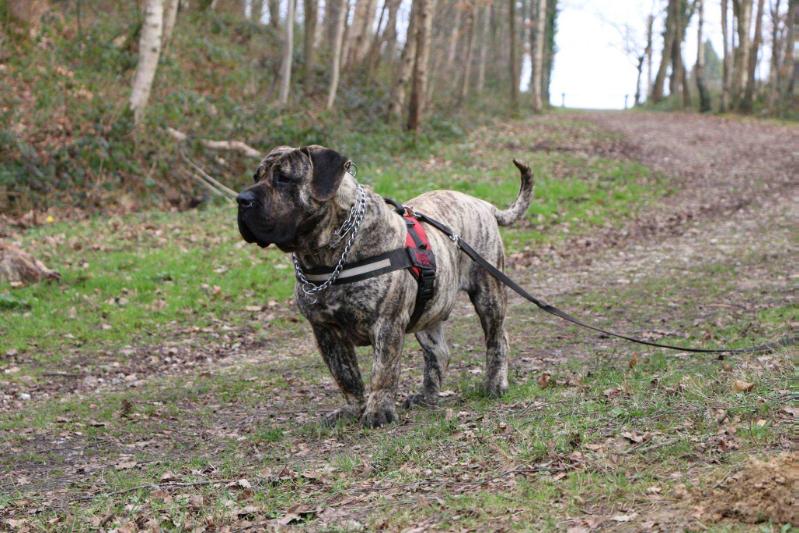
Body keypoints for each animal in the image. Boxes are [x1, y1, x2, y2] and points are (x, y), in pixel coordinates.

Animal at [238, 145, 536, 428]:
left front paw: (378, 412)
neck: (327, 254)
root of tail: (482, 203)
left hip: (489, 294)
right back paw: (426, 396)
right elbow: (345, 376)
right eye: (256, 176)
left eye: (284, 178)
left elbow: (382, 371)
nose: (242, 199)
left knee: (497, 339)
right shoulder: (325, 330)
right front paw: (352, 409)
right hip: (429, 307)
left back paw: (495, 385)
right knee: (439, 353)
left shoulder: (387, 323)